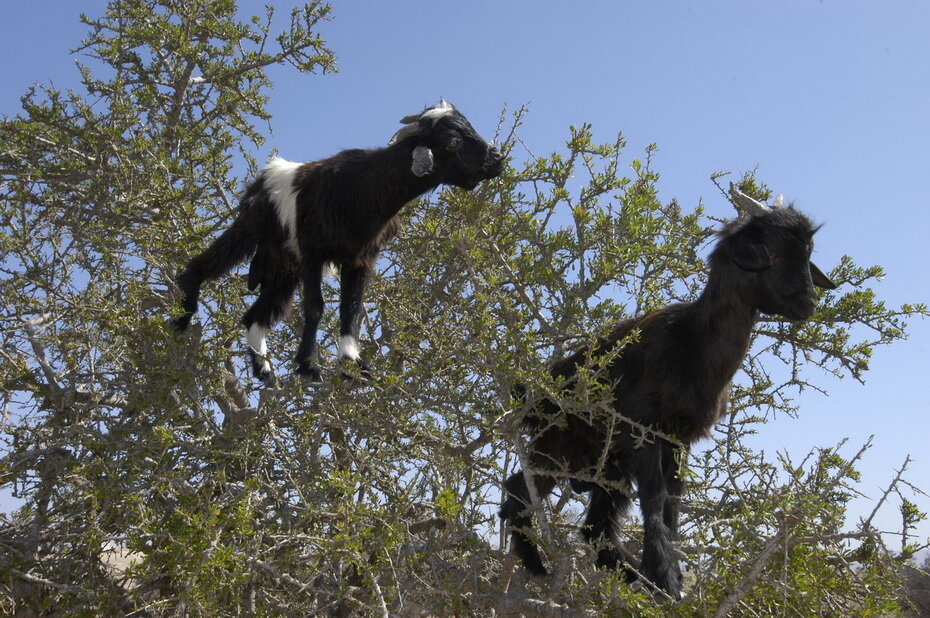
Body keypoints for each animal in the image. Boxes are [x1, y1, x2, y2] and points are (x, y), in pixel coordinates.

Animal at [172, 100, 500, 380]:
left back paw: (263, 370)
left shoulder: (361, 258)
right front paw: (309, 366)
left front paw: (352, 365)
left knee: (255, 315)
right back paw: (182, 317)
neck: (364, 190)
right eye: (452, 142)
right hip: (252, 230)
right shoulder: (313, 252)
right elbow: (315, 307)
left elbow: (351, 309)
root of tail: (263, 179)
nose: (496, 159)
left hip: (284, 267)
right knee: (208, 262)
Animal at [504, 183, 836, 596]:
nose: (808, 303)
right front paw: (663, 577)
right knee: (519, 492)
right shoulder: (643, 429)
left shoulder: (677, 439)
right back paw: (537, 565)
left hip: (605, 465)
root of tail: (530, 392)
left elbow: (673, 502)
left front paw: (670, 577)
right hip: (558, 446)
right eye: (773, 252)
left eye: (808, 255)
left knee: (594, 528)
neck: (692, 343)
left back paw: (626, 572)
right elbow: (656, 497)